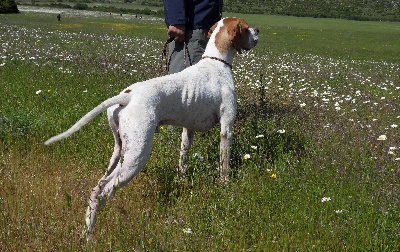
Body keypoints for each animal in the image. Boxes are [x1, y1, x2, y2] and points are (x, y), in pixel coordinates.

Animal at [46, 16, 260, 241]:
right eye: (246, 28)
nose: (258, 30)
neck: (216, 62)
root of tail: (127, 96)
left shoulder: (188, 130)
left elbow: (183, 161)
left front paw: (182, 180)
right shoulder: (226, 129)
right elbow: (224, 165)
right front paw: (225, 187)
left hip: (118, 152)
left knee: (96, 188)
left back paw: (86, 234)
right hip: (136, 155)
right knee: (103, 190)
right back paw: (91, 235)